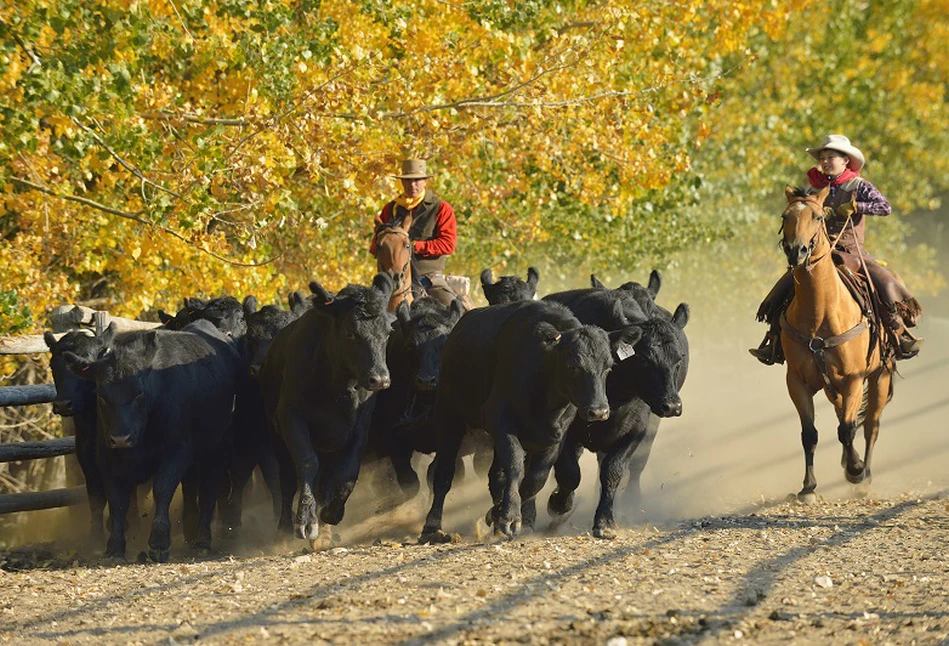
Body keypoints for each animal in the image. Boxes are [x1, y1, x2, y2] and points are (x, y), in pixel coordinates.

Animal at [61, 322, 243, 560]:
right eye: (101, 394)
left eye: (139, 392)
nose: (121, 438)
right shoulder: (107, 458)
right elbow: (118, 501)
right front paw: (115, 546)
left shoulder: (177, 451)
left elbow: (162, 489)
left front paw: (159, 542)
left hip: (217, 447)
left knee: (208, 490)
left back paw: (202, 539)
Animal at [258, 274, 394, 548]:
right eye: (350, 332)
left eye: (388, 332)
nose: (380, 379)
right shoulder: (291, 418)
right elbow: (307, 462)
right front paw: (306, 521)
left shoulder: (359, 428)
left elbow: (347, 474)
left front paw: (331, 514)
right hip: (277, 438)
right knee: (287, 482)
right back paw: (284, 528)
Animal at [418, 302, 640, 544]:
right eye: (573, 366)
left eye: (608, 367)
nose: (599, 411)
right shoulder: (501, 421)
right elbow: (515, 465)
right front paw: (509, 518)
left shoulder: (555, 435)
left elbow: (536, 479)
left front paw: (498, 514)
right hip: (449, 416)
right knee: (443, 473)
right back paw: (432, 527)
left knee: (496, 476)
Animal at [540, 276, 688, 540]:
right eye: (643, 359)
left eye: (678, 358)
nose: (672, 405)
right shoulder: (566, 431)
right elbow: (570, 472)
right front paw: (559, 504)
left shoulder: (635, 431)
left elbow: (613, 472)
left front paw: (605, 520)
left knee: (635, 467)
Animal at [772, 185, 892, 504]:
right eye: (785, 215)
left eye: (817, 216)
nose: (797, 251)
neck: (820, 312)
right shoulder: (797, 382)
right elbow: (809, 434)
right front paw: (808, 486)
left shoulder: (853, 379)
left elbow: (848, 429)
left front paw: (855, 471)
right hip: (831, 387)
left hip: (880, 376)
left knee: (871, 425)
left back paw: (864, 475)